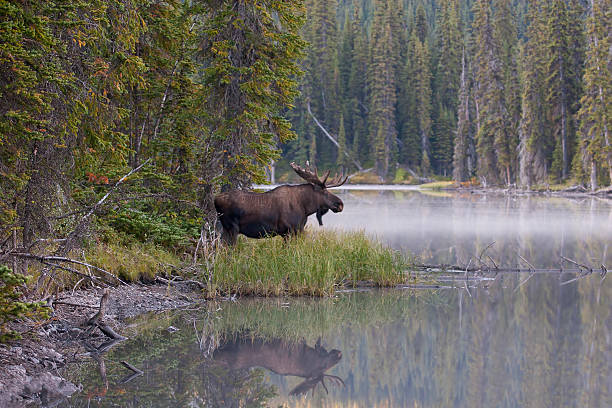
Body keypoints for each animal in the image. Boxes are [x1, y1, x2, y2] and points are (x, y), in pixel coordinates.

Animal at [215, 163, 350, 245]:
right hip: (232, 228)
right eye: (324, 191)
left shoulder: (298, 230)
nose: (340, 204)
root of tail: (215, 199)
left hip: (226, 229)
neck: (305, 208)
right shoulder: (288, 231)